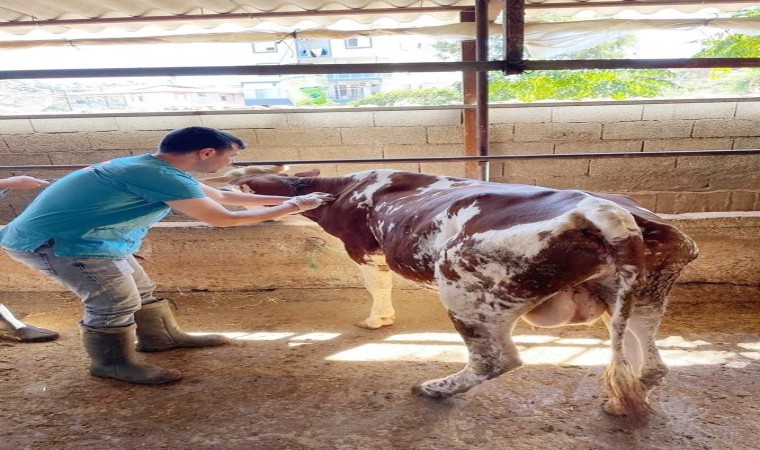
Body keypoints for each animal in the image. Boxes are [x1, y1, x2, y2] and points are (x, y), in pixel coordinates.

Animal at [217, 166, 696, 418]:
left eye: (241, 180)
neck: (347, 188)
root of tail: (607, 210)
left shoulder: (363, 248)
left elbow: (376, 284)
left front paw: (377, 319)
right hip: (646, 292)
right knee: (649, 358)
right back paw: (628, 395)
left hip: (466, 289)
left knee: (494, 360)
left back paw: (435, 388)